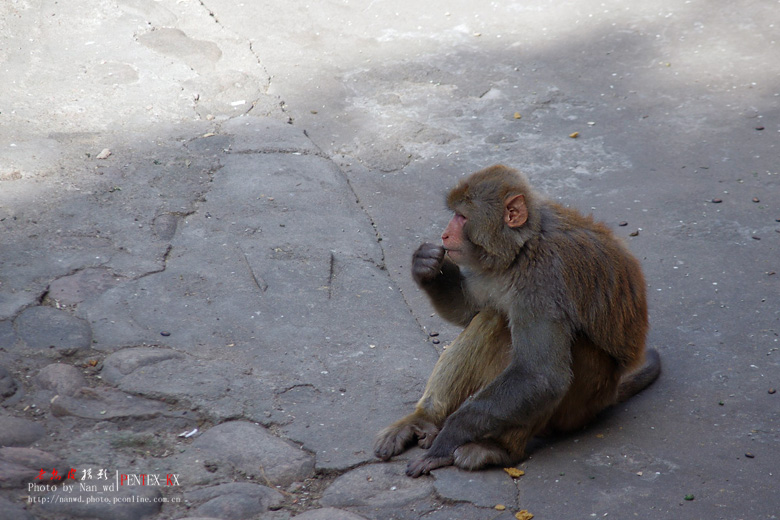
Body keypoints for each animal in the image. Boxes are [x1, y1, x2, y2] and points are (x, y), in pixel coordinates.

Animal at [374, 165, 660, 478]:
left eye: (462, 217)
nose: (445, 235)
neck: (524, 245)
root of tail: (609, 394)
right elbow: (470, 311)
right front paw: (426, 265)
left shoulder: (543, 280)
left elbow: (539, 376)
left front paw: (449, 437)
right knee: (491, 317)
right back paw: (423, 419)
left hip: (584, 401)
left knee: (514, 339)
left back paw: (499, 449)